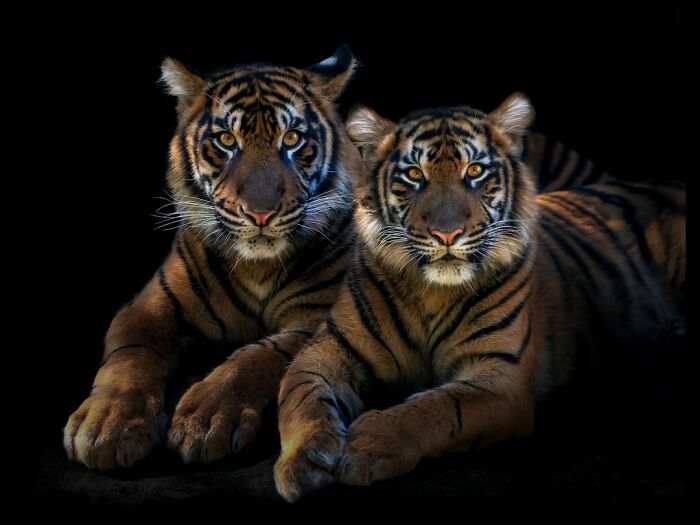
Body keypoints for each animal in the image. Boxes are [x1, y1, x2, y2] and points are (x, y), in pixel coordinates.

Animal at [63, 45, 363, 469]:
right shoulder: (148, 305)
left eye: (291, 138)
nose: (260, 213)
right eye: (225, 140)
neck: (258, 266)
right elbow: (130, 357)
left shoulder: (321, 312)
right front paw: (106, 425)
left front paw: (207, 419)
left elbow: (259, 357)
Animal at [273, 92, 686, 502]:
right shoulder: (327, 350)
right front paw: (303, 461)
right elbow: (300, 396)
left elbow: (433, 408)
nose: (447, 234)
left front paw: (368, 446)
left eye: (474, 172)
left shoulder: (500, 376)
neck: (431, 292)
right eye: (415, 175)